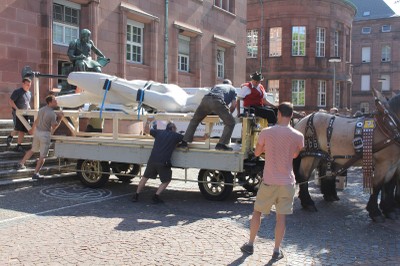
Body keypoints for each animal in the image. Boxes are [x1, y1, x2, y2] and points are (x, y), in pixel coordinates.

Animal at [294, 90, 400, 222]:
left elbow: (389, 185)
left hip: (319, 155)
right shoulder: (383, 163)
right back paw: (308, 203)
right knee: (304, 176)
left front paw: (389, 210)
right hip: (310, 156)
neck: (389, 125)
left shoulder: (393, 164)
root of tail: (302, 120)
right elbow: (378, 186)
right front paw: (375, 212)